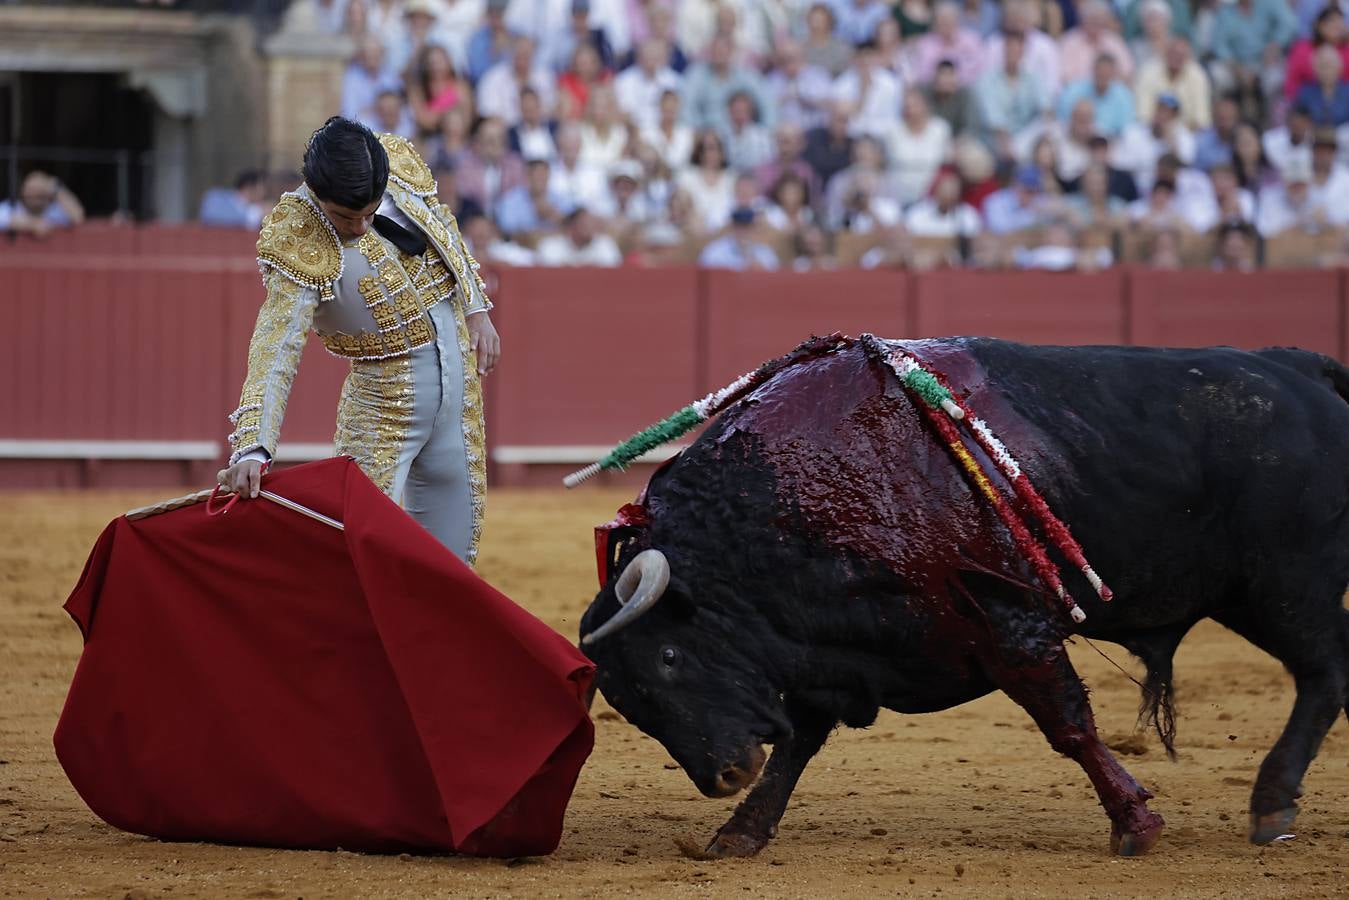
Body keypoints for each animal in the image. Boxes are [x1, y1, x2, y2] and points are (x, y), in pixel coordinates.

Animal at [577, 337, 1349, 858]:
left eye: (670, 657)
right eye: (628, 703)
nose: (724, 776)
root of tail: (1294, 368)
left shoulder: (1010, 627)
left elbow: (1069, 725)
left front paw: (1137, 824)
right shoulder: (831, 652)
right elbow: (797, 744)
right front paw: (738, 832)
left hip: (1287, 587)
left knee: (1324, 671)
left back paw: (1271, 806)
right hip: (1261, 595)